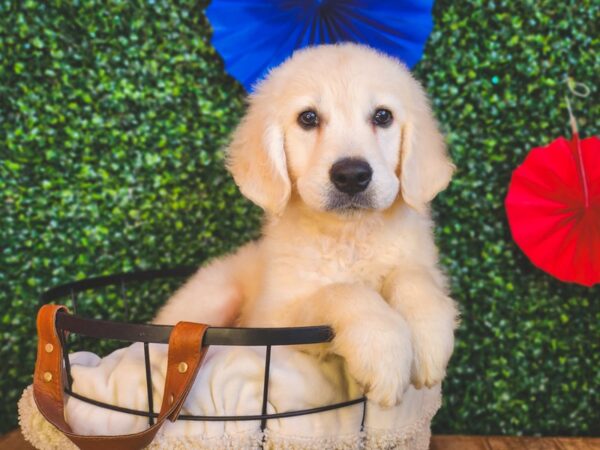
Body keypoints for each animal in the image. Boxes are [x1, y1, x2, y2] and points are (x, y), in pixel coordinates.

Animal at [152, 43, 458, 408]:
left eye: (383, 116)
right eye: (308, 118)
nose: (351, 175)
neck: (349, 236)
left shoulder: (421, 262)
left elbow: (414, 276)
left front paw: (428, 336)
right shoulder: (275, 319)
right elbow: (341, 291)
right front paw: (383, 347)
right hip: (212, 298)